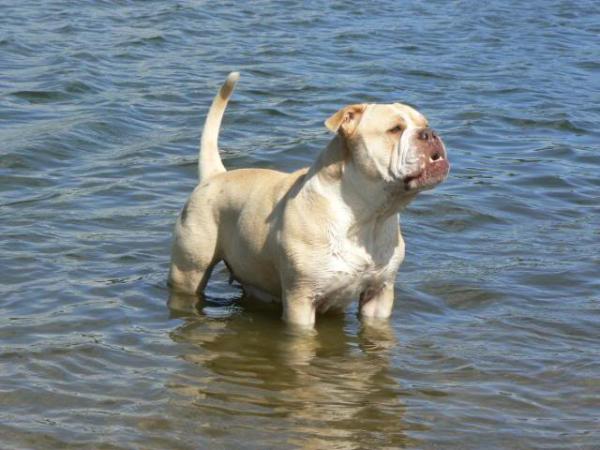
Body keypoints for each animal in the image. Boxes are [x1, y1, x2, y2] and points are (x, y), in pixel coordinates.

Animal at [166, 73, 448, 326]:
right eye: (395, 129)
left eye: (425, 122)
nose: (430, 133)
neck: (368, 215)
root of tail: (216, 174)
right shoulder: (301, 299)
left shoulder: (379, 294)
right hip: (189, 271)